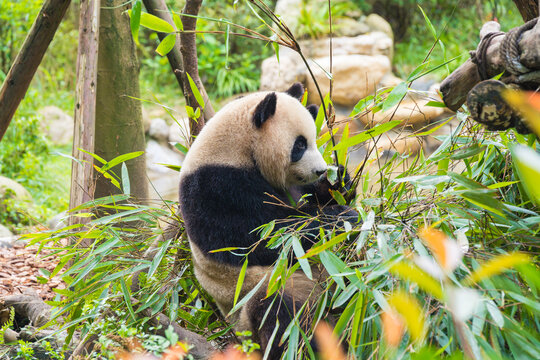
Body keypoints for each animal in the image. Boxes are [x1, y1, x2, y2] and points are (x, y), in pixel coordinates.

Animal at [179, 83, 358, 358]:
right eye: (300, 145)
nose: (319, 170)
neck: (237, 149)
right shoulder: (216, 189)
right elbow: (264, 239)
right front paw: (342, 217)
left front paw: (338, 181)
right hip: (265, 291)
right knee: (280, 316)